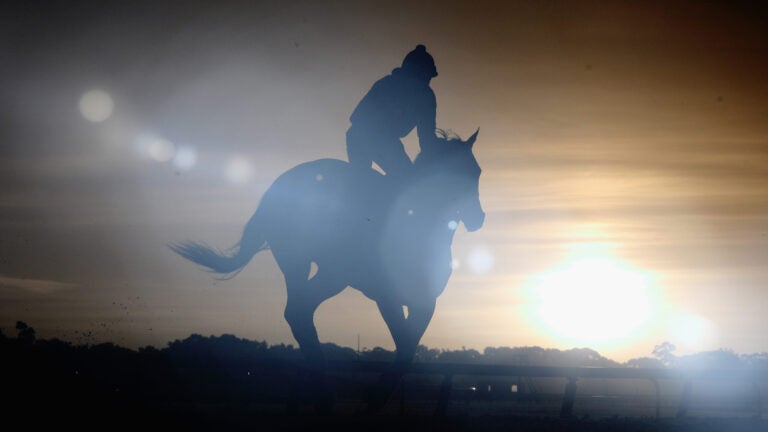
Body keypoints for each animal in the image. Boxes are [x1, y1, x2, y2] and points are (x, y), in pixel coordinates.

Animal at [172, 129, 484, 405]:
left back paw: (319, 384)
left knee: (299, 311)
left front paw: (380, 392)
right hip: (314, 267)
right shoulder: (388, 297)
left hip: (316, 271)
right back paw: (322, 385)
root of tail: (275, 189)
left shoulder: (423, 300)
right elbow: (405, 344)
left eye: (476, 172)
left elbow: (408, 344)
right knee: (298, 311)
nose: (478, 219)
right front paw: (378, 394)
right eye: (466, 173)